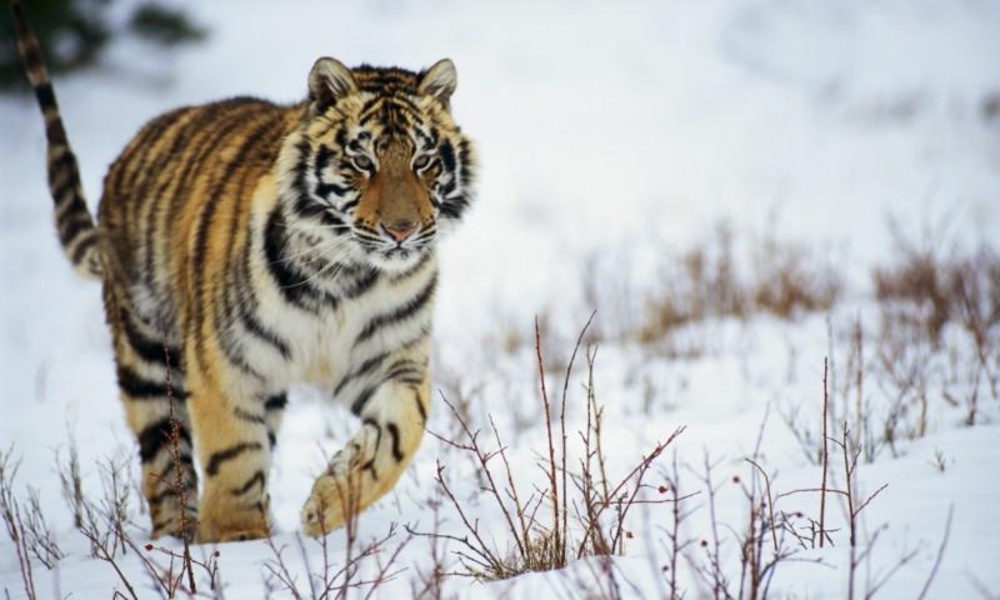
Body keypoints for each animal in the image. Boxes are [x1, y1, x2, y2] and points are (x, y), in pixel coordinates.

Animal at [10, 0, 476, 542]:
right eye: (362, 160)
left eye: (424, 161)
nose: (402, 230)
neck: (345, 277)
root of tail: (126, 154)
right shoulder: (225, 358)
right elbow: (233, 452)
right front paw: (239, 539)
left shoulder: (391, 359)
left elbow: (401, 433)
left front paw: (326, 506)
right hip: (147, 356)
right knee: (165, 462)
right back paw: (178, 540)